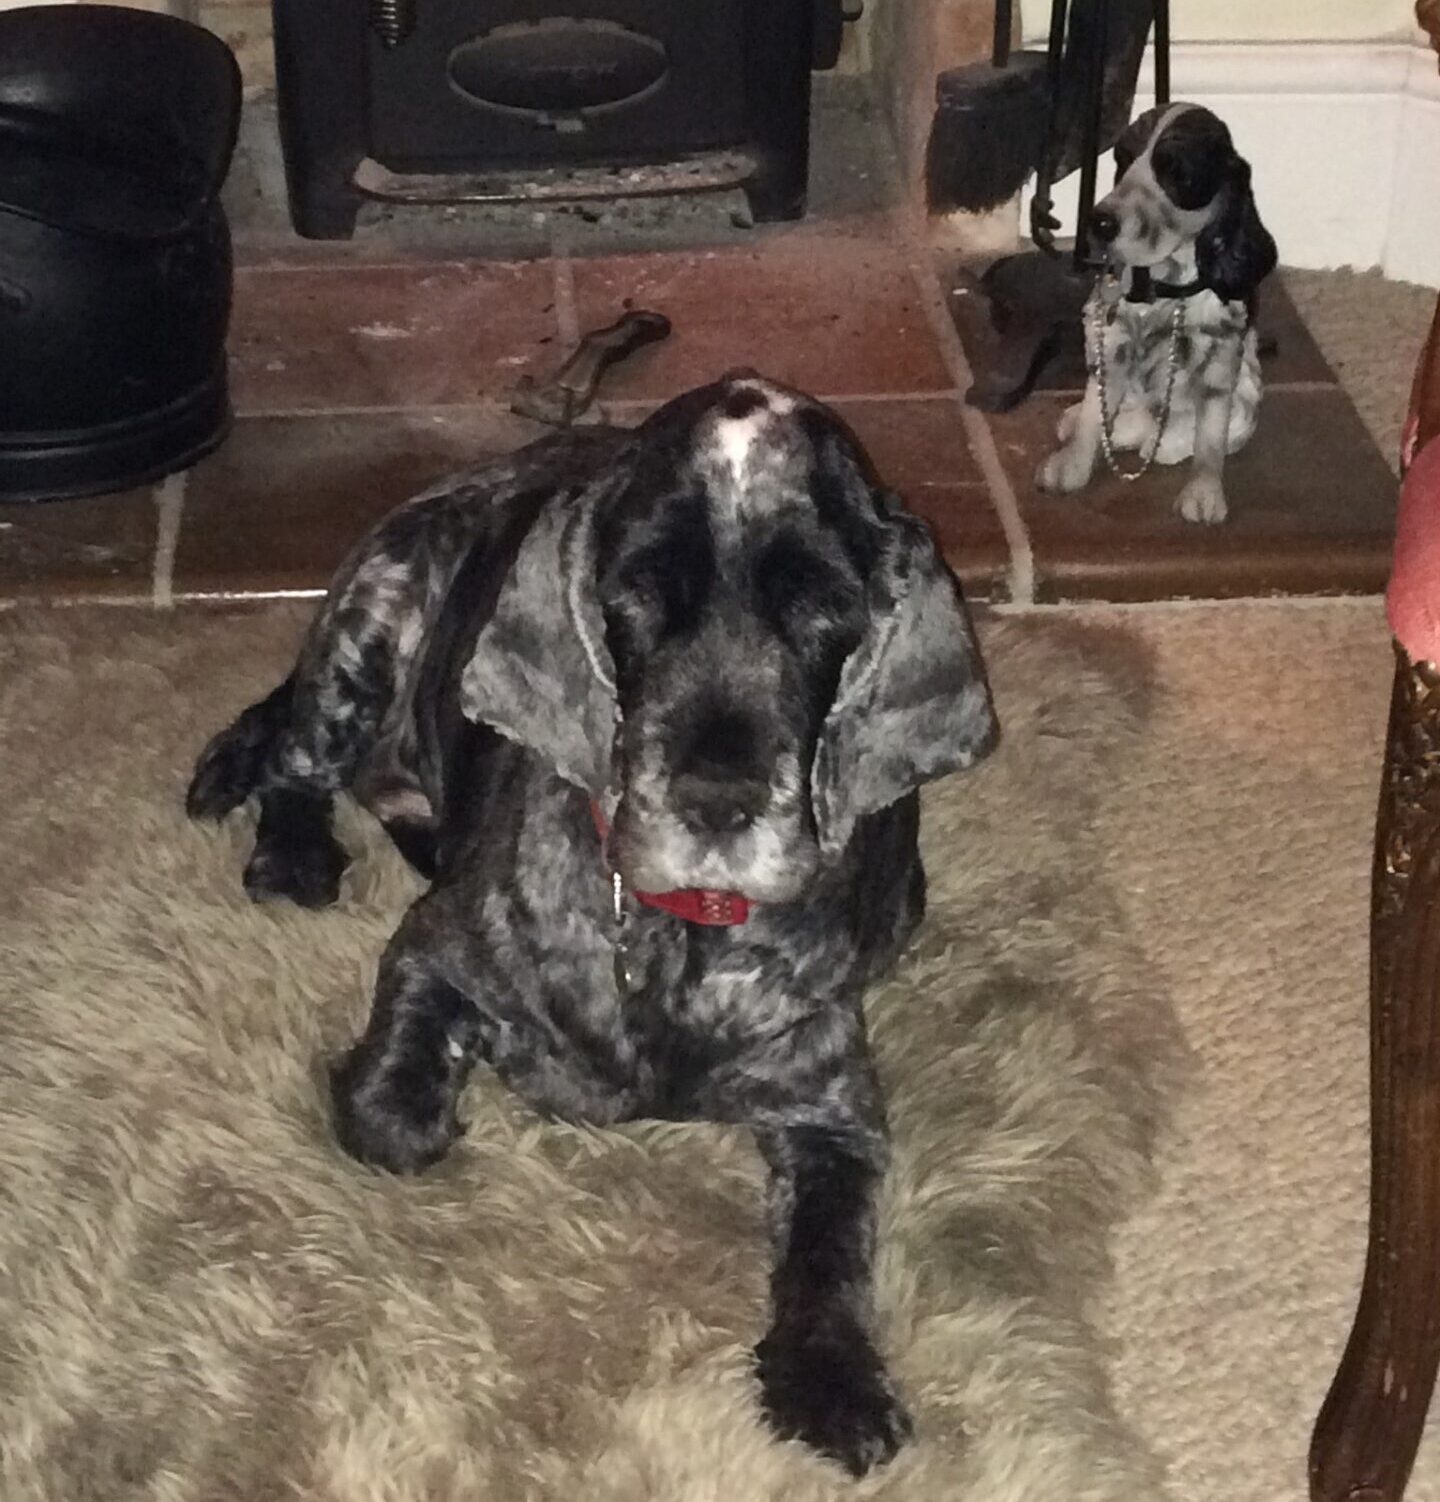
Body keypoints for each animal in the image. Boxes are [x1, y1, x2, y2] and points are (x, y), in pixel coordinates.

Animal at [188, 369, 1003, 1471]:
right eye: (636, 593)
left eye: (824, 606)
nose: (715, 798)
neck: (678, 939)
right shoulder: (436, 948)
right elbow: (395, 1111)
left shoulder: (833, 1106)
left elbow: (830, 1251)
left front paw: (832, 1378)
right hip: (365, 630)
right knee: (296, 757)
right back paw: (295, 851)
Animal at [1033, 99, 1285, 522]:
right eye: (1121, 157)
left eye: (1177, 172)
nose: (1100, 222)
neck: (1164, 283)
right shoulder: (1111, 339)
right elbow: (1094, 411)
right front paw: (1070, 466)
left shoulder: (1222, 351)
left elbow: (1212, 433)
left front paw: (1203, 494)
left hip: (1249, 387)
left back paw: (1161, 442)